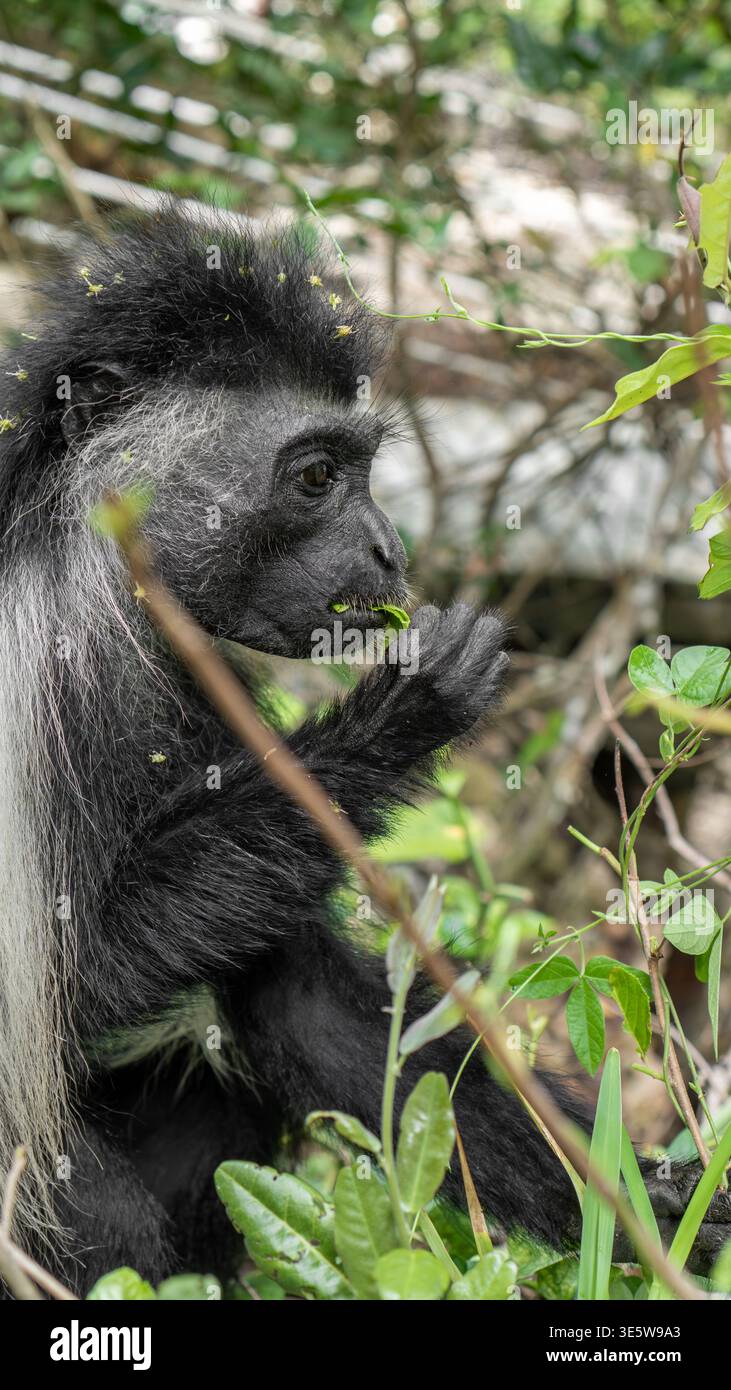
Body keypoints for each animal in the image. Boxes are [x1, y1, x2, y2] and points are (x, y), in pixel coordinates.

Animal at [0, 205, 728, 1296]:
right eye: (314, 478)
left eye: (362, 471)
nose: (391, 550)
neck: (89, 561)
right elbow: (74, 970)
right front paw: (408, 706)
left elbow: (311, 1004)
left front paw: (655, 1201)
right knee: (88, 1204)